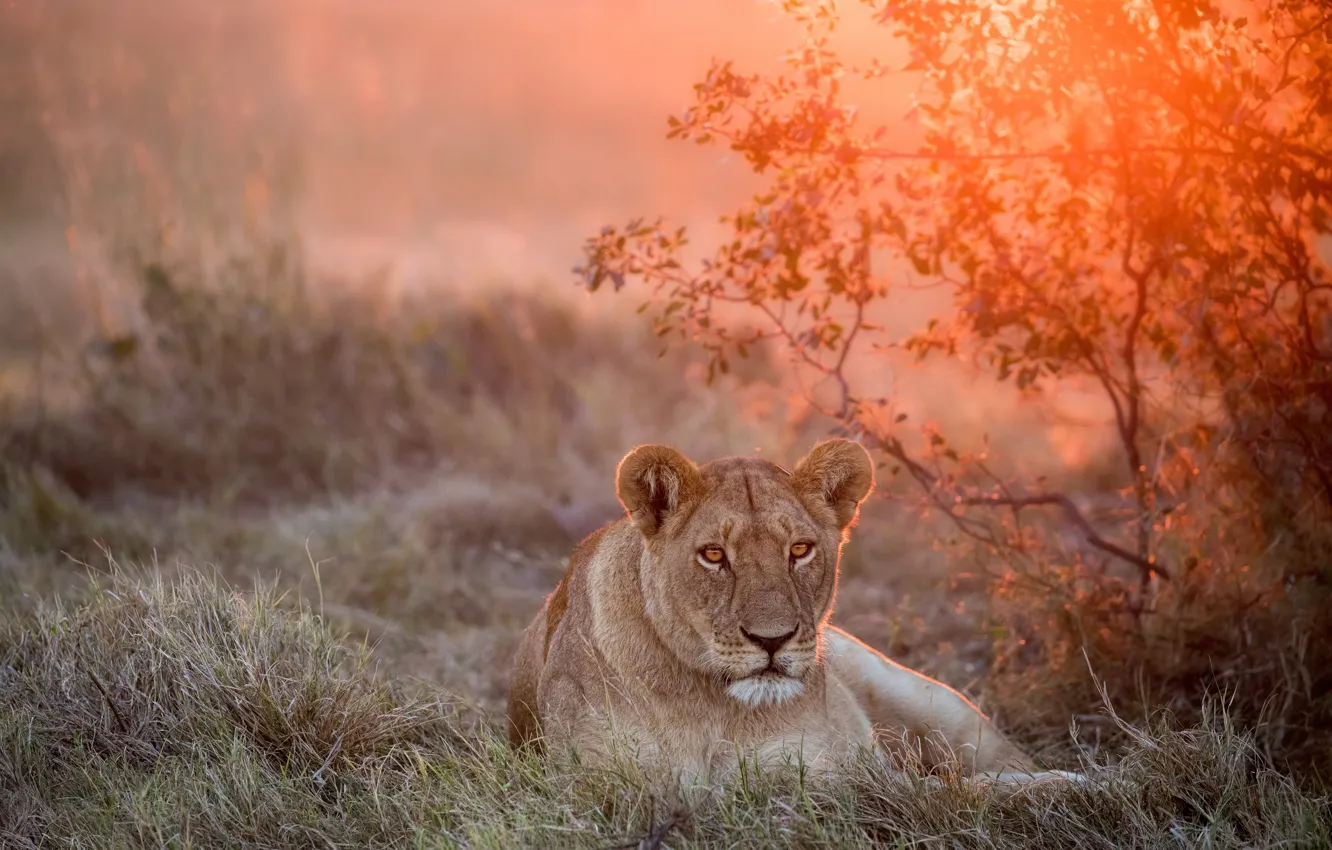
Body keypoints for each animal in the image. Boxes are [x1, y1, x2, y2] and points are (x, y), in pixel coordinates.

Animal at [508, 439, 1077, 785]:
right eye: (713, 555)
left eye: (799, 550)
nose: (772, 640)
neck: (715, 709)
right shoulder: (604, 783)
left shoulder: (837, 774)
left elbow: (956, 792)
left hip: (934, 704)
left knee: (997, 764)